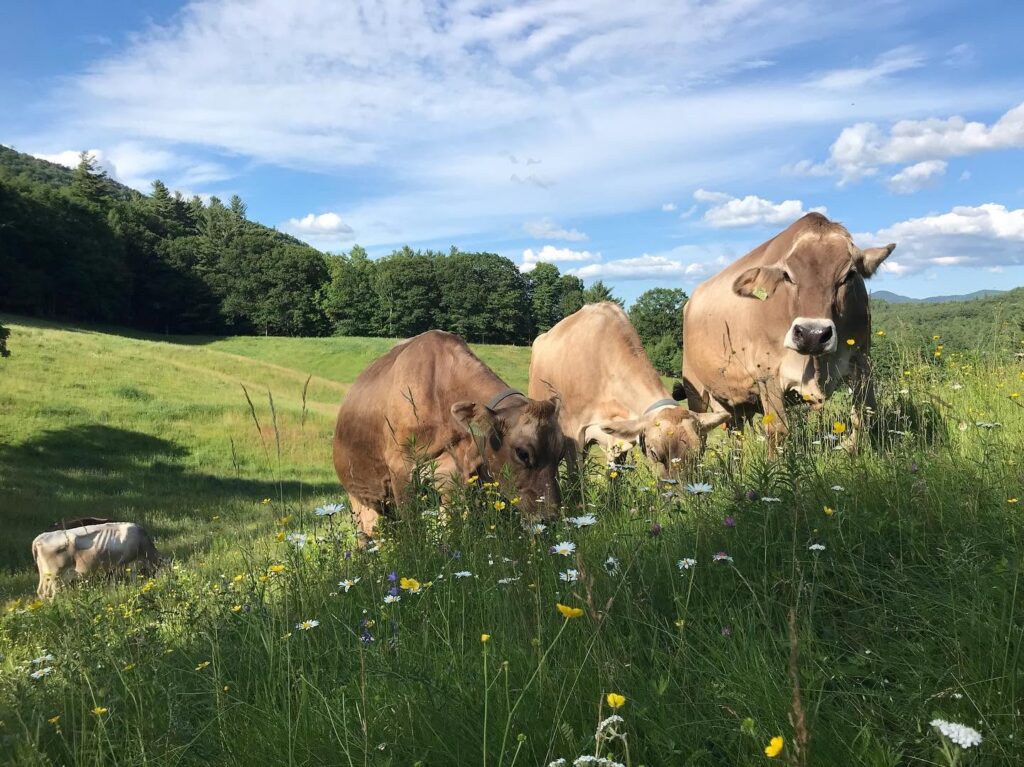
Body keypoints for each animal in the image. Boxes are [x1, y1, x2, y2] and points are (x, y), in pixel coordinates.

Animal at [32, 521, 161, 599]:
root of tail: (41, 536)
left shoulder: (116, 566)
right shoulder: (130, 562)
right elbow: (132, 577)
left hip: (45, 574)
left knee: (41, 592)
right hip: (54, 574)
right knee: (50, 593)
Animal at [333, 330, 566, 544]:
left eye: (560, 455)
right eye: (523, 453)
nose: (550, 519)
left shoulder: (452, 480)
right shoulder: (400, 468)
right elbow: (414, 529)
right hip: (357, 498)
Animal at [680, 212, 895, 442]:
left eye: (849, 275)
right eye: (787, 276)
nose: (812, 334)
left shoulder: (862, 362)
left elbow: (864, 417)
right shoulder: (768, 374)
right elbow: (778, 431)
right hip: (695, 389)